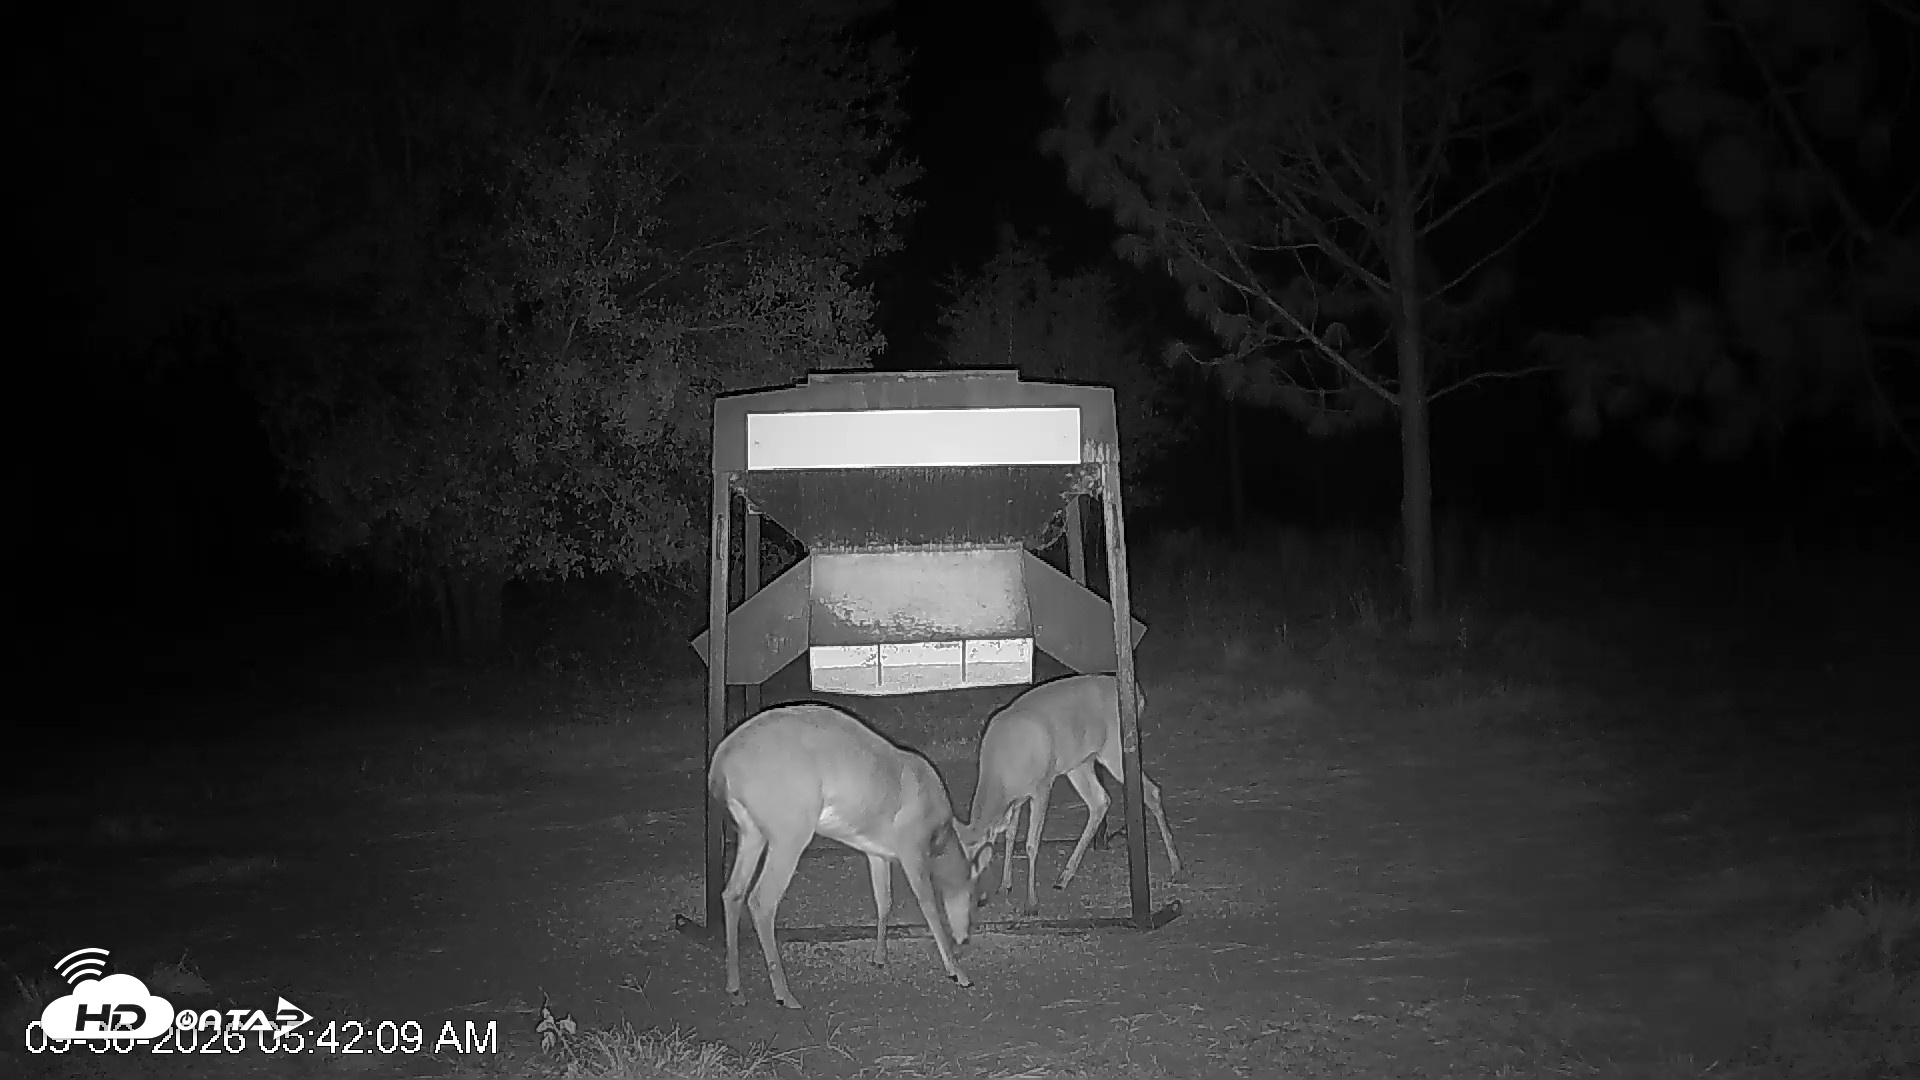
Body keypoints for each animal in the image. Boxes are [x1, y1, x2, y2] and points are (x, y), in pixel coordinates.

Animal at [708, 702, 992, 1010]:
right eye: (979, 899)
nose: (965, 938)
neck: (939, 834)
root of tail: (720, 768)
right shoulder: (911, 847)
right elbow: (928, 904)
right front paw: (958, 972)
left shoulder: (877, 853)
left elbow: (884, 901)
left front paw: (879, 957)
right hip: (789, 831)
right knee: (761, 900)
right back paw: (785, 995)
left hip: (752, 832)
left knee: (732, 893)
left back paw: (735, 988)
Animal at [956, 673, 1186, 916]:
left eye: (975, 863)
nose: (971, 900)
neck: (1002, 771)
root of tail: (1139, 695)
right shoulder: (1016, 800)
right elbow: (1010, 836)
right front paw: (1005, 885)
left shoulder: (1042, 785)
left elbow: (1031, 843)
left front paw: (1031, 903)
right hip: (1079, 763)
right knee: (1100, 801)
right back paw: (1063, 878)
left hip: (1115, 750)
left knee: (1151, 791)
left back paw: (1177, 869)